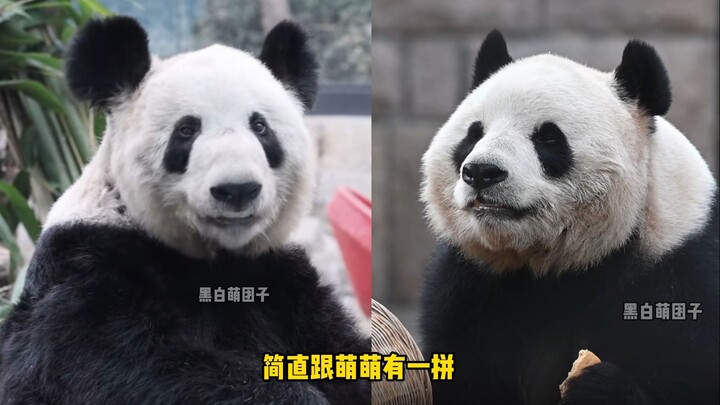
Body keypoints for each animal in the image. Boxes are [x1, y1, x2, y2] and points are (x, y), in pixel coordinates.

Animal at [0, 17, 369, 404]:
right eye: (187, 130)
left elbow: (336, 343)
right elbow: (113, 364)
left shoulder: (278, 276)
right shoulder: (86, 260)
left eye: (260, 127)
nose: (237, 189)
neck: (213, 257)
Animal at [419, 30, 718, 405]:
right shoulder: (471, 285)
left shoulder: (681, 266)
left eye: (548, 137)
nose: (481, 172)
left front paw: (598, 387)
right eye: (474, 134)